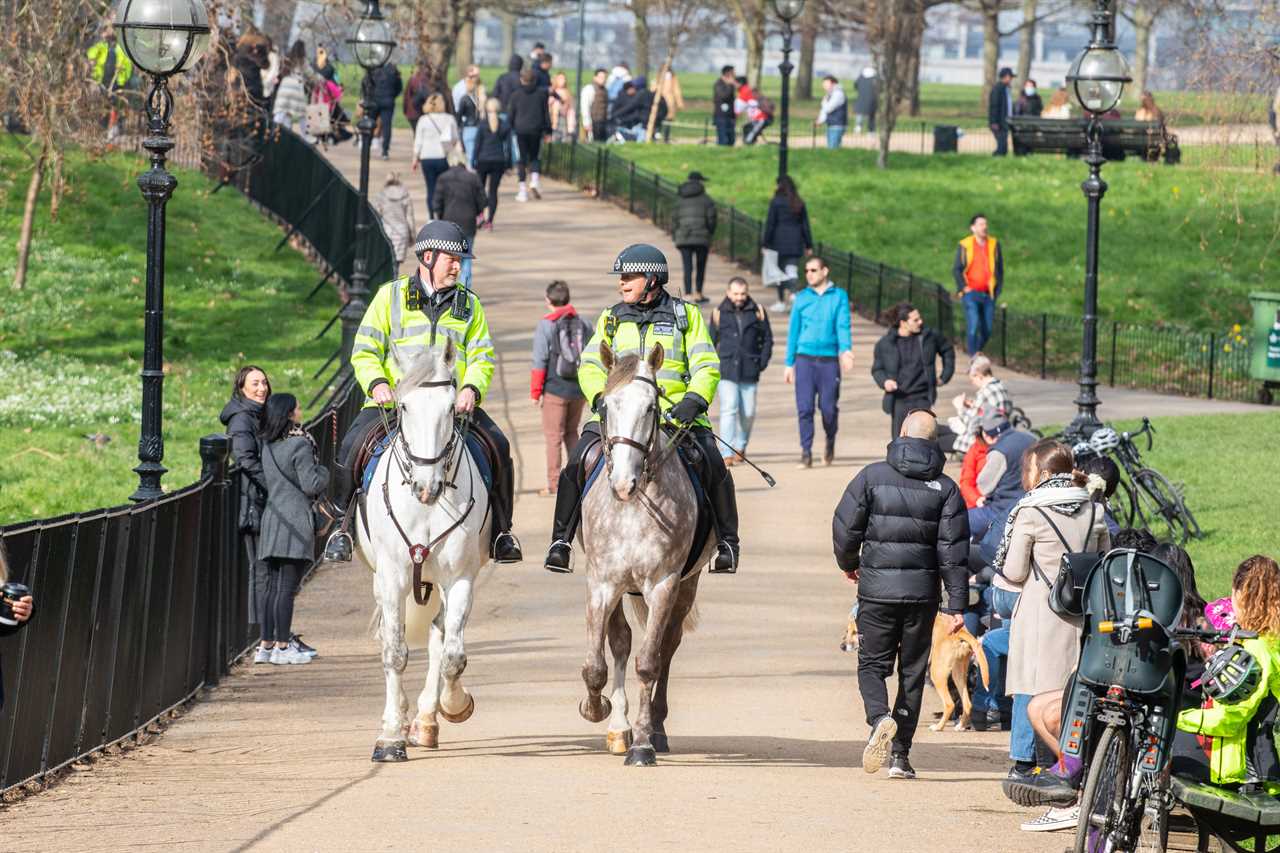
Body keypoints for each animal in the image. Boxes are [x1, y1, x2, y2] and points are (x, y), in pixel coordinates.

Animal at [358, 343, 491, 758]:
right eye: (403, 406)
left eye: (451, 407)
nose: (426, 486)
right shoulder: (392, 578)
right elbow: (395, 652)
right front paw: (390, 736)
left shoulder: (460, 579)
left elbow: (452, 656)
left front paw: (454, 705)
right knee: (395, 634)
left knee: (438, 637)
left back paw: (427, 721)